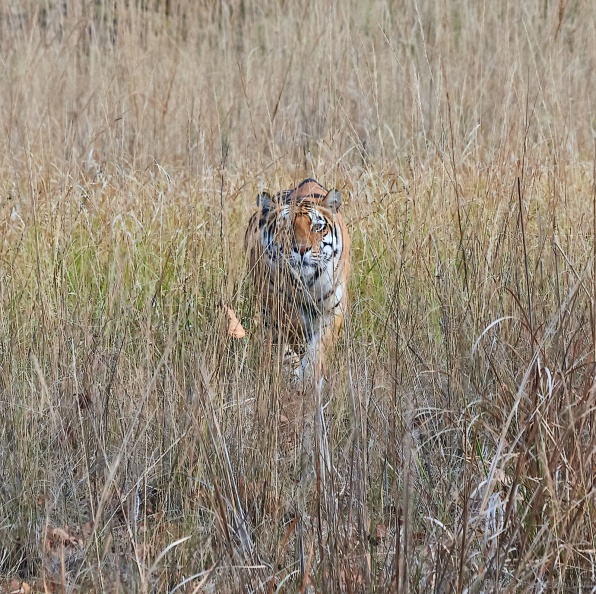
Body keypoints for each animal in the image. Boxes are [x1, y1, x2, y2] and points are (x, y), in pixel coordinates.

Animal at [246, 176, 350, 382]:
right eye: (285, 227)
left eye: (317, 227)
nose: (302, 249)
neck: (306, 282)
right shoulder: (274, 300)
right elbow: (289, 328)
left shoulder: (333, 307)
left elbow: (319, 348)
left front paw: (308, 375)